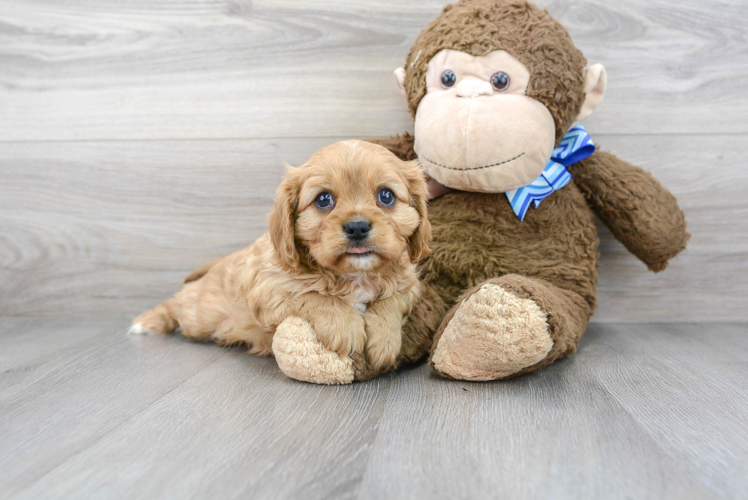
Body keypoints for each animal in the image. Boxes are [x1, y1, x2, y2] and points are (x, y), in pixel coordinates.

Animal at [131, 141, 430, 378]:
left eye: (386, 195)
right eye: (323, 199)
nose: (357, 227)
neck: (354, 275)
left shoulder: (410, 286)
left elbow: (391, 301)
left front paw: (384, 339)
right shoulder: (270, 290)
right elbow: (315, 296)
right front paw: (344, 327)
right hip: (200, 315)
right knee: (177, 303)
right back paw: (146, 321)